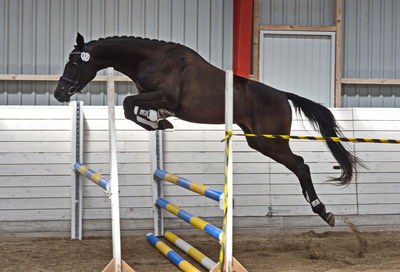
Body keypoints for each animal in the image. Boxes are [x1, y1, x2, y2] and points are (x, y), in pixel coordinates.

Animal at [54, 33, 360, 226]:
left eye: (73, 61)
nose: (59, 93)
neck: (152, 59)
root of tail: (282, 96)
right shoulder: (154, 98)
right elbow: (133, 109)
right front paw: (158, 121)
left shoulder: (165, 97)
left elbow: (130, 104)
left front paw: (157, 121)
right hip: (258, 141)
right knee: (298, 165)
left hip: (270, 141)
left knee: (300, 165)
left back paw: (323, 211)